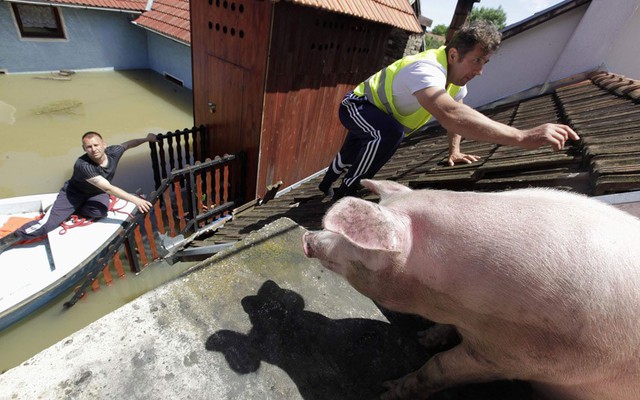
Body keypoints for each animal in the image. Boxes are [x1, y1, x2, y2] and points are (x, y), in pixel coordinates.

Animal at [302, 179, 640, 400]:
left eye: (350, 241)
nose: (307, 238)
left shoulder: (512, 357)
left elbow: (437, 367)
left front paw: (387, 391)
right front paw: (424, 338)